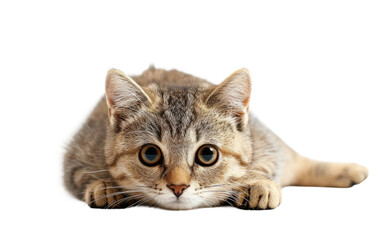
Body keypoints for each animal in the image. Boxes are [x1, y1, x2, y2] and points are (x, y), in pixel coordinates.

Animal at [64, 66, 368, 209]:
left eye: (207, 154)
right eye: (150, 154)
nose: (178, 187)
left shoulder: (264, 148)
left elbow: (262, 167)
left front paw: (257, 183)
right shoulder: (76, 157)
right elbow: (86, 175)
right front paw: (104, 185)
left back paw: (350, 171)